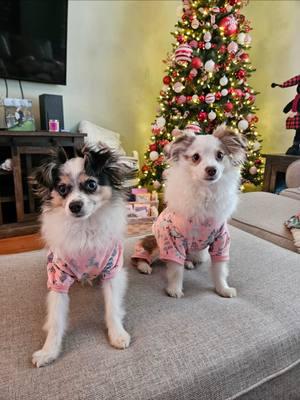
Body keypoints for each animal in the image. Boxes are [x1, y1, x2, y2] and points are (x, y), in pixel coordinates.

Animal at [30, 144, 132, 368]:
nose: (74, 205)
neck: (85, 230)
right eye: (62, 189)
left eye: (91, 184)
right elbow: (56, 319)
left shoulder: (112, 270)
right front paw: (49, 351)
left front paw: (117, 334)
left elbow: (112, 307)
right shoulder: (57, 277)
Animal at [132, 126, 246, 298]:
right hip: (158, 245)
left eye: (220, 155)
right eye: (195, 157)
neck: (205, 194)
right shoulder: (172, 241)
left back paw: (188, 262)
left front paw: (223, 289)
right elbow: (176, 271)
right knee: (143, 254)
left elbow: (219, 270)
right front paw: (174, 289)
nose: (211, 169)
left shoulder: (221, 242)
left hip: (200, 253)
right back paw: (144, 266)